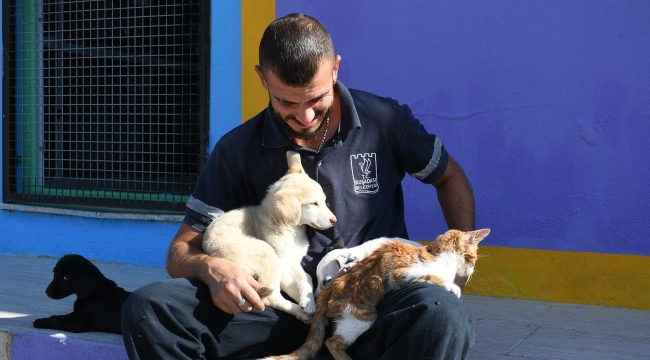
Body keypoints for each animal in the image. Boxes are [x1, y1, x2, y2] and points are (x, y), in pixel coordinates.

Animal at [202, 150, 336, 322]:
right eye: (313, 204)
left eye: (324, 201)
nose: (334, 220)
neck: (288, 229)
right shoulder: (283, 263)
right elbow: (294, 285)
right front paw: (307, 305)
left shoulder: (293, 261)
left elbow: (306, 278)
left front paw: (309, 301)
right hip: (267, 253)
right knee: (270, 298)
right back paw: (299, 312)